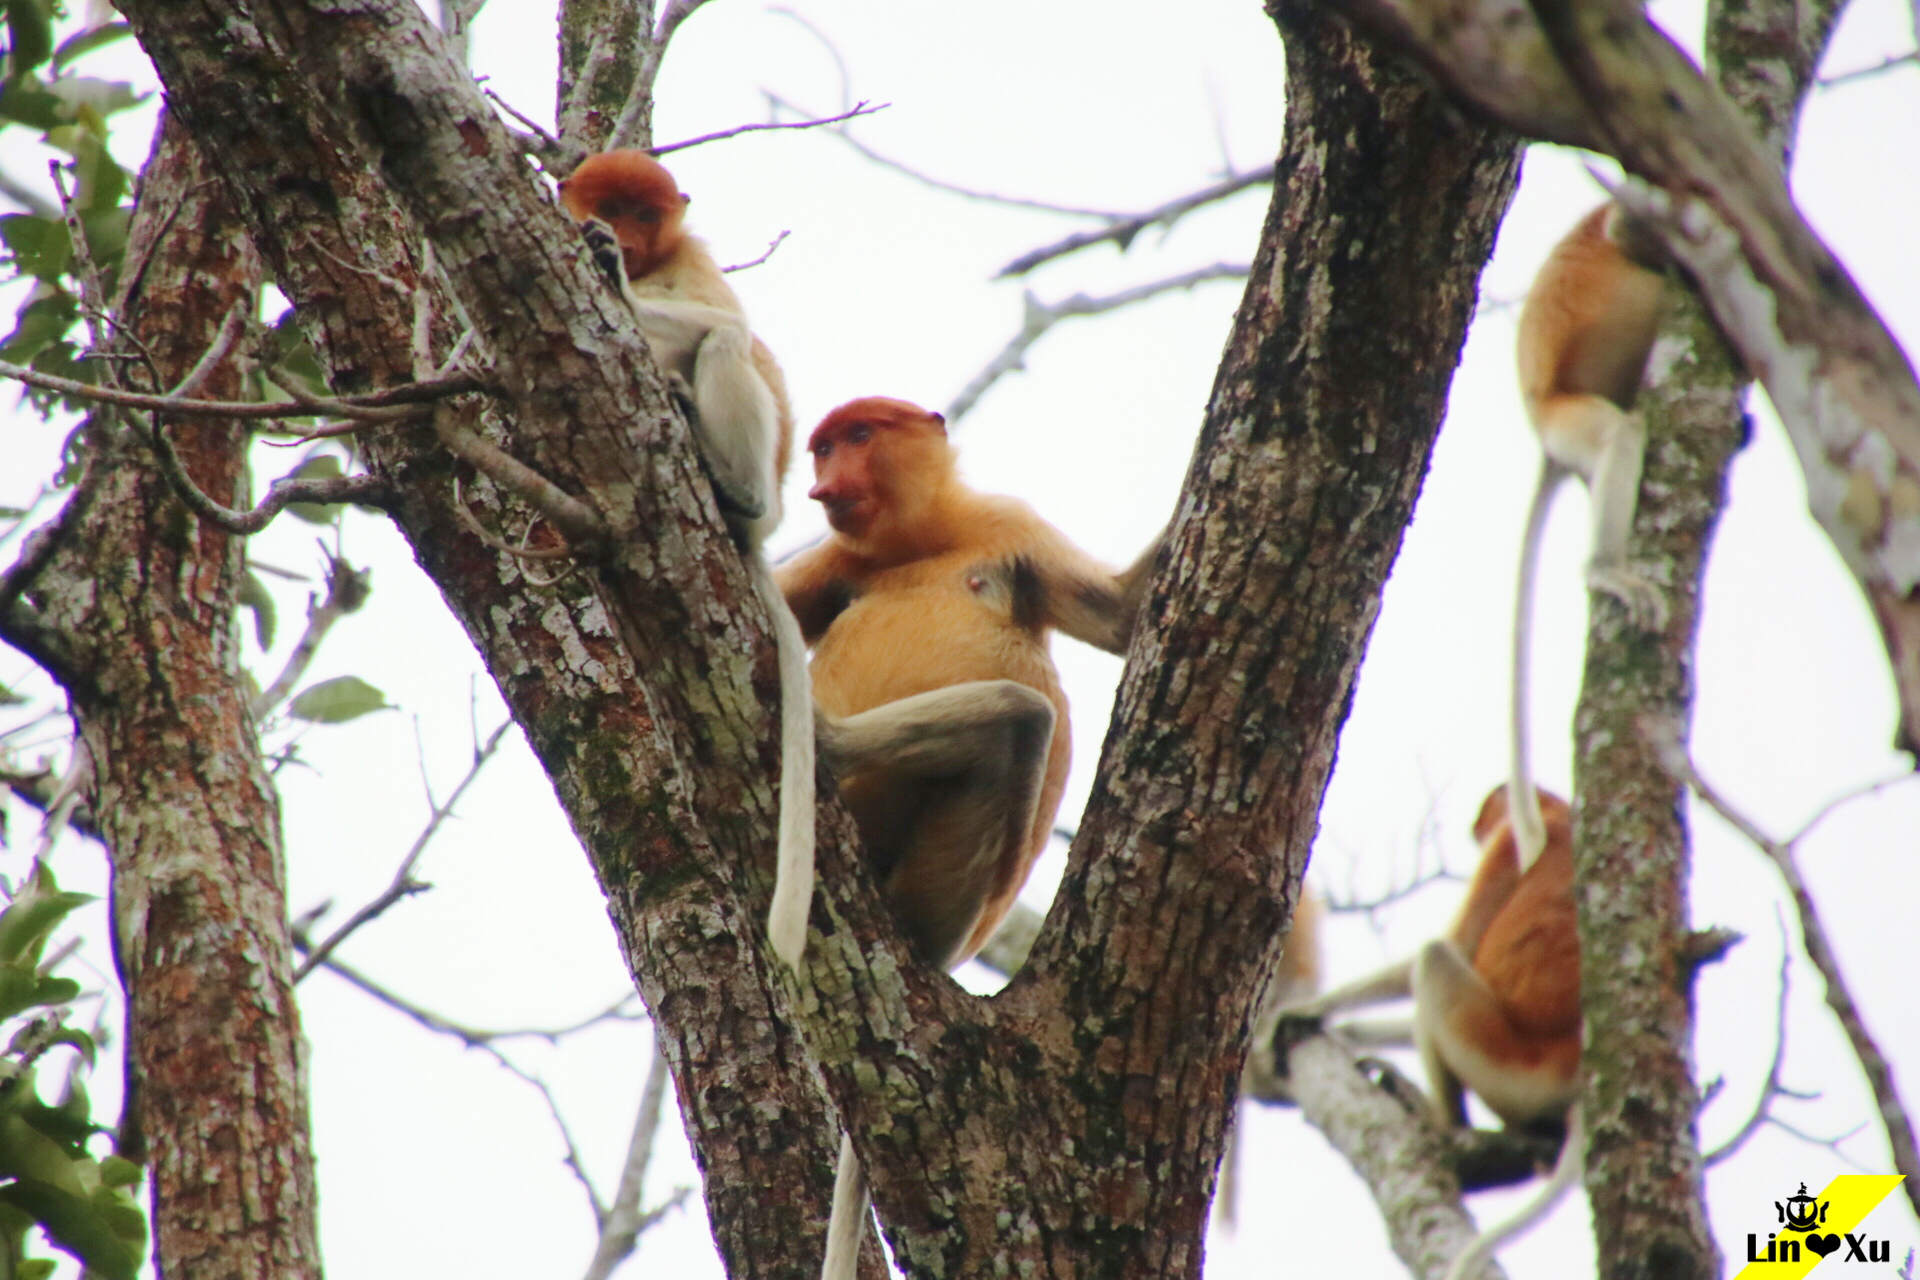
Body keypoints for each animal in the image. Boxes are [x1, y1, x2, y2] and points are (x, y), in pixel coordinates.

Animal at [560, 150, 821, 967]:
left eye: (648, 215)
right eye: (613, 204)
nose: (626, 238)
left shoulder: (692, 261)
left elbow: (723, 324)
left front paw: (610, 273)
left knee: (728, 344)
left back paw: (734, 490)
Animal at [771, 397, 1159, 1280]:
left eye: (860, 437)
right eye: (822, 448)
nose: (824, 485)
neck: (925, 544)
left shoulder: (1010, 527)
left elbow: (1125, 617)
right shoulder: (835, 557)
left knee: (1021, 722)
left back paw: (831, 743)